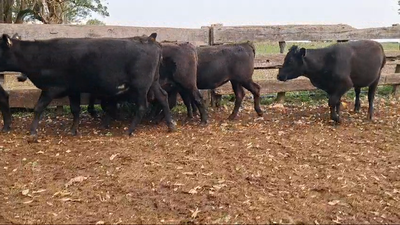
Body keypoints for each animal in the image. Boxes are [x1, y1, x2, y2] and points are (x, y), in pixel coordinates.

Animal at [0, 33, 175, 139]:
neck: (39, 55)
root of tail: (151, 41)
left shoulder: (51, 89)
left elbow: (38, 108)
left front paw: (32, 132)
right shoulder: (73, 89)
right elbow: (75, 110)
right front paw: (73, 129)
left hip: (141, 86)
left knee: (142, 106)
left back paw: (130, 130)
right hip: (153, 82)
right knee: (163, 97)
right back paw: (170, 125)